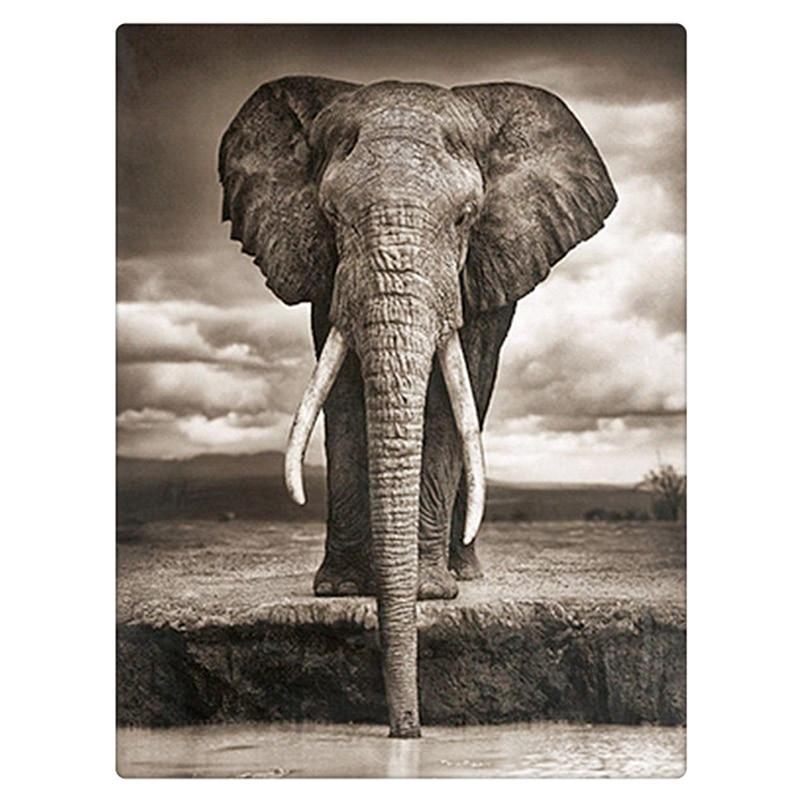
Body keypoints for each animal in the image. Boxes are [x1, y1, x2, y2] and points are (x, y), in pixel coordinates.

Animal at [218, 77, 616, 738]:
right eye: (331, 215)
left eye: (465, 217)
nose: (407, 730)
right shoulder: (328, 273)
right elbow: (344, 395)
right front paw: (342, 589)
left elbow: (450, 403)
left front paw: (429, 593)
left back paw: (463, 573)